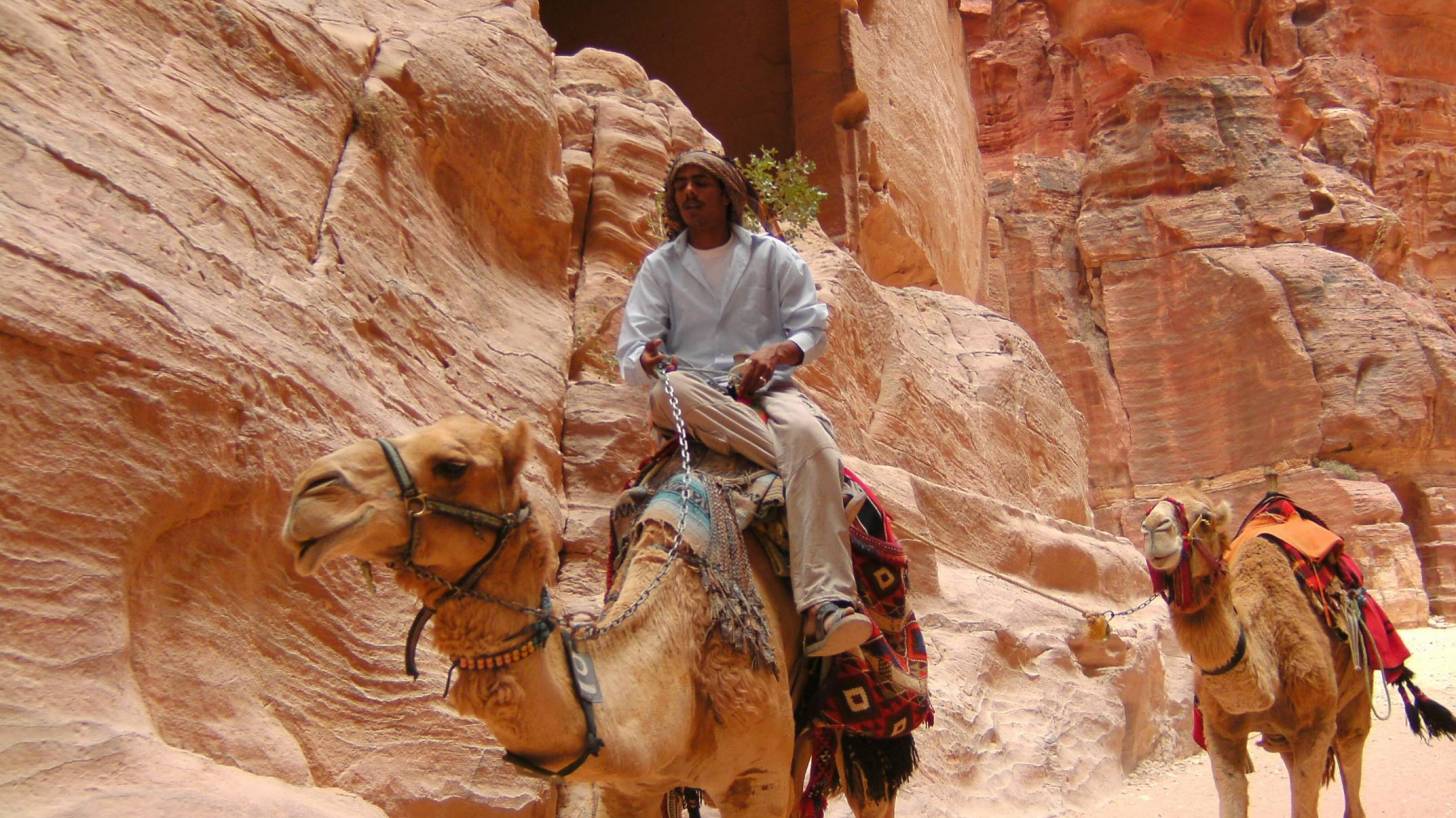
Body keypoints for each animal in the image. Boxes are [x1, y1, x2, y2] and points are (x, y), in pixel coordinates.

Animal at [1141, 489, 1368, 815]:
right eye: (1147, 512)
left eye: (1205, 517)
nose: (1154, 528)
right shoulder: (1219, 731)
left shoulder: (1317, 724)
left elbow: (1305, 807)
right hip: (1282, 735)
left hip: (1355, 696)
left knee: (1351, 749)